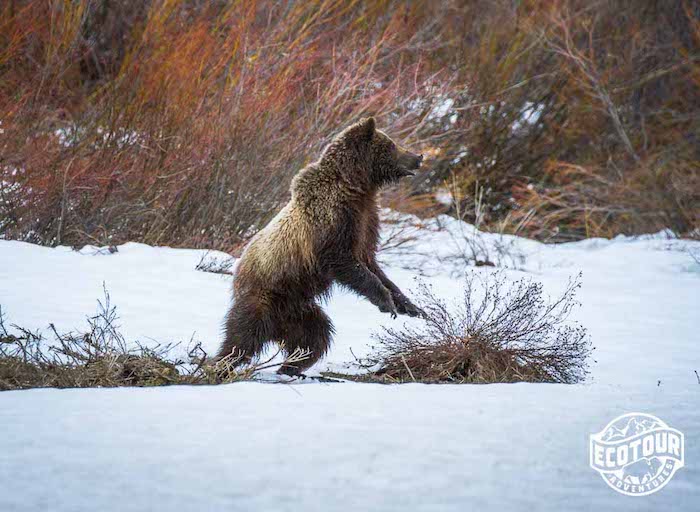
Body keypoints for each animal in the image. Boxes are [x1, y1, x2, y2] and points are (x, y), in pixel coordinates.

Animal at [219, 117, 424, 376]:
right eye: (392, 145)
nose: (419, 156)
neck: (356, 186)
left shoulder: (366, 222)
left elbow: (372, 264)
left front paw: (410, 305)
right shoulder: (332, 221)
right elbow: (346, 261)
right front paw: (386, 302)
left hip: (299, 310)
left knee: (315, 337)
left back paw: (291, 367)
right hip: (266, 296)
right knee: (244, 335)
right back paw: (221, 364)